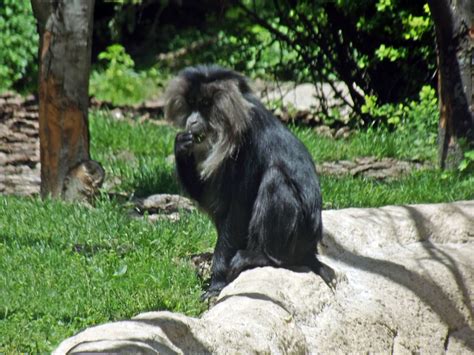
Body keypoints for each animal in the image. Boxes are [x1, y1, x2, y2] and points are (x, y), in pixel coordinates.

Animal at [165, 65, 336, 298]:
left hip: (297, 239)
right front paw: (181, 144)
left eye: (206, 104)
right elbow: (212, 200)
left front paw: (217, 282)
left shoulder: (247, 142)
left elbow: (239, 208)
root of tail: (311, 250)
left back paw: (263, 257)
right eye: (191, 103)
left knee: (274, 180)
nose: (191, 121)